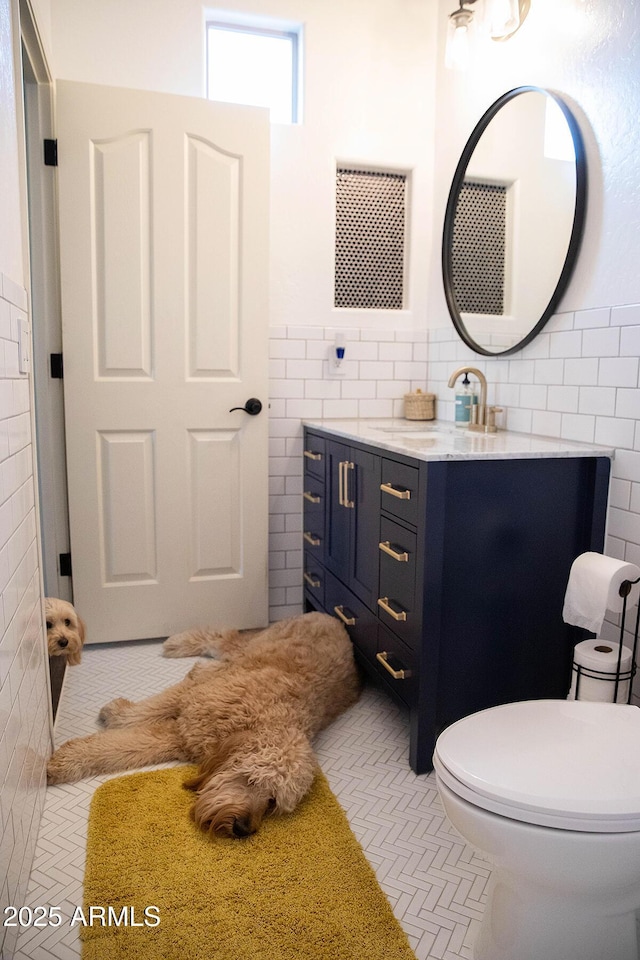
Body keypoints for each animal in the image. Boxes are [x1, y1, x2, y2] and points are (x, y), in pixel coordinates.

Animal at [46, 616, 360, 840]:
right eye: (251, 781)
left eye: (271, 802)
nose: (243, 829)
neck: (253, 720)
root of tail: (333, 619)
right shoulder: (192, 697)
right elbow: (150, 709)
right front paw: (115, 715)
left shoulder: (180, 738)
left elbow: (126, 747)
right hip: (249, 647)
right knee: (224, 637)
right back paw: (178, 643)